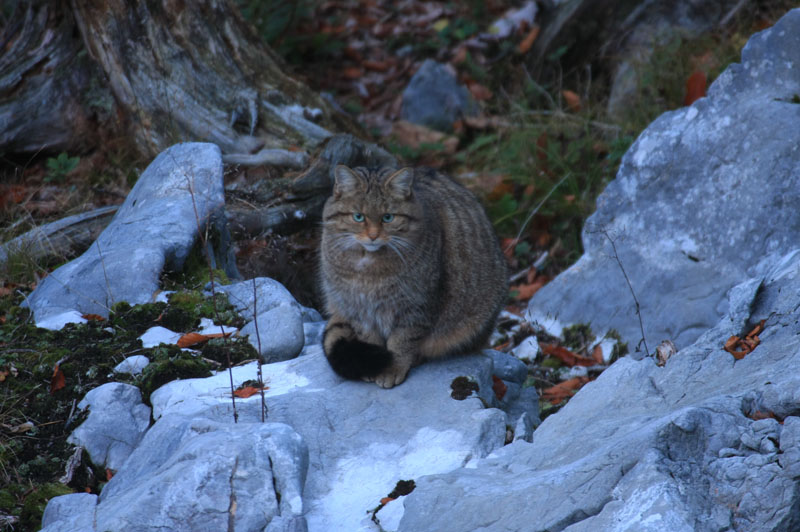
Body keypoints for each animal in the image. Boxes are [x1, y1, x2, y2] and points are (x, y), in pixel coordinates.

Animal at [318, 164, 506, 388]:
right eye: (358, 216)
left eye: (388, 217)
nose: (373, 236)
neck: (367, 269)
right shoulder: (357, 309)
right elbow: (370, 338)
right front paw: (376, 363)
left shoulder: (415, 307)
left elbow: (402, 341)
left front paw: (392, 367)